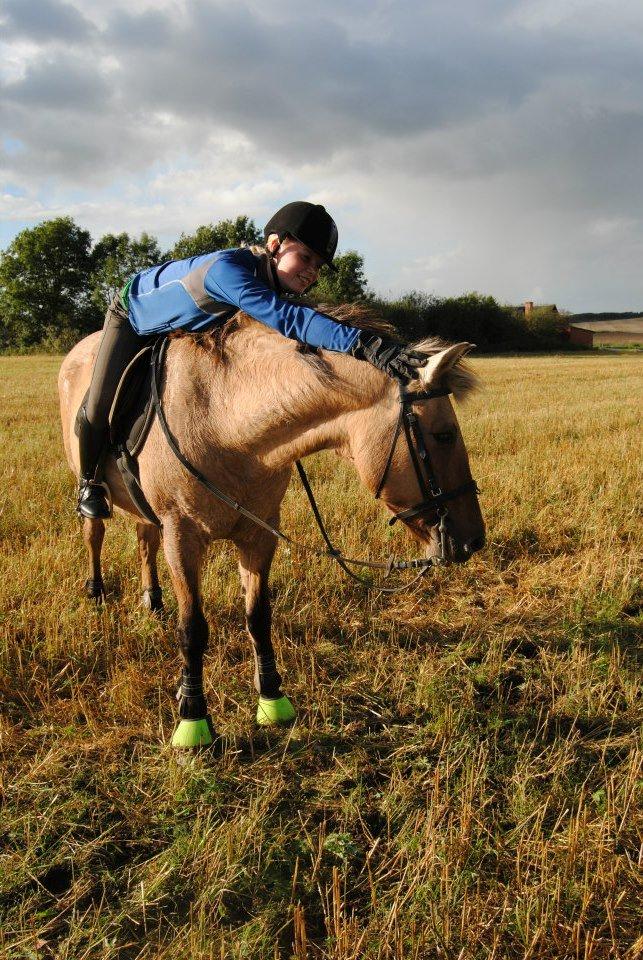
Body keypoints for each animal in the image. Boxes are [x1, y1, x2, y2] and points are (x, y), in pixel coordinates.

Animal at [57, 310, 486, 752]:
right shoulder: (182, 536)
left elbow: (258, 616)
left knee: (145, 540)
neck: (223, 420)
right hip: (89, 484)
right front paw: (193, 719)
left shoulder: (259, 534)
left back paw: (153, 601)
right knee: (94, 533)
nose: (474, 540)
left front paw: (271, 700)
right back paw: (96, 591)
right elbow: (192, 629)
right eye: (444, 435)